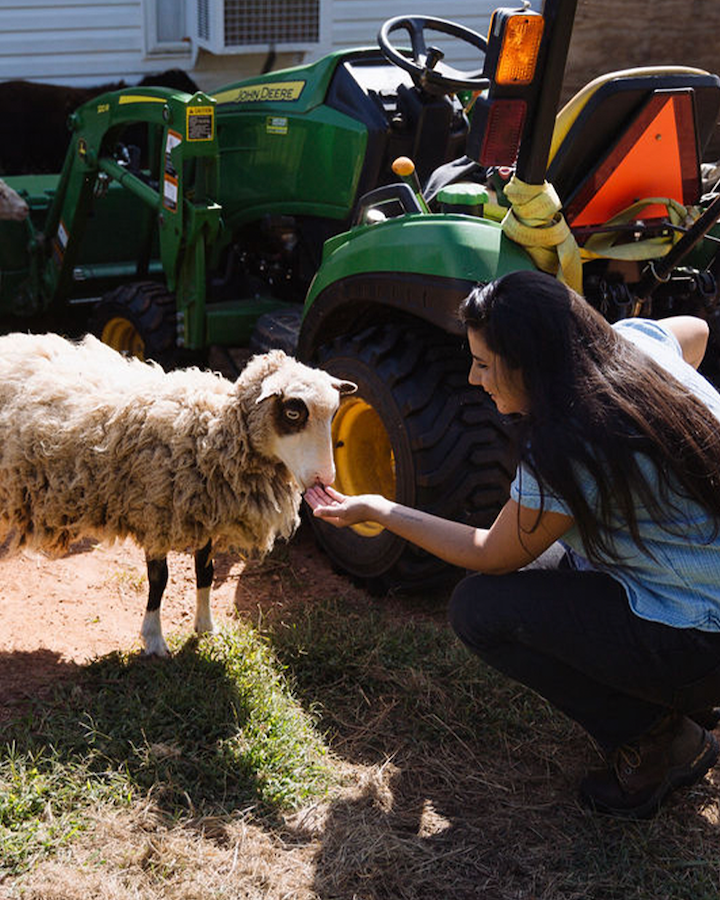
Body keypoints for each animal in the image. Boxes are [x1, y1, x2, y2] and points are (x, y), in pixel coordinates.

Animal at [0, 333, 356, 655]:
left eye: (333, 414)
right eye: (294, 413)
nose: (324, 478)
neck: (211, 434)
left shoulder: (206, 516)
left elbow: (205, 573)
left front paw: (206, 626)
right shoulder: (156, 513)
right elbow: (160, 580)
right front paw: (154, 639)